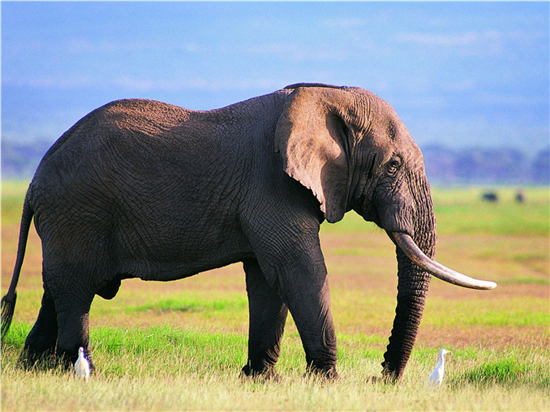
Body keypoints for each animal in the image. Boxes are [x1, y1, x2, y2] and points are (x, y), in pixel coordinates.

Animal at [0, 82, 498, 382]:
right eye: (392, 166)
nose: (381, 378)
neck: (324, 94)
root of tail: (33, 181)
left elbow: (268, 279)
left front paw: (262, 380)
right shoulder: (272, 184)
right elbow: (299, 269)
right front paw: (327, 382)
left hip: (68, 219)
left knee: (56, 290)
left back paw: (33, 369)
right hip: (77, 212)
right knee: (75, 291)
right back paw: (81, 371)